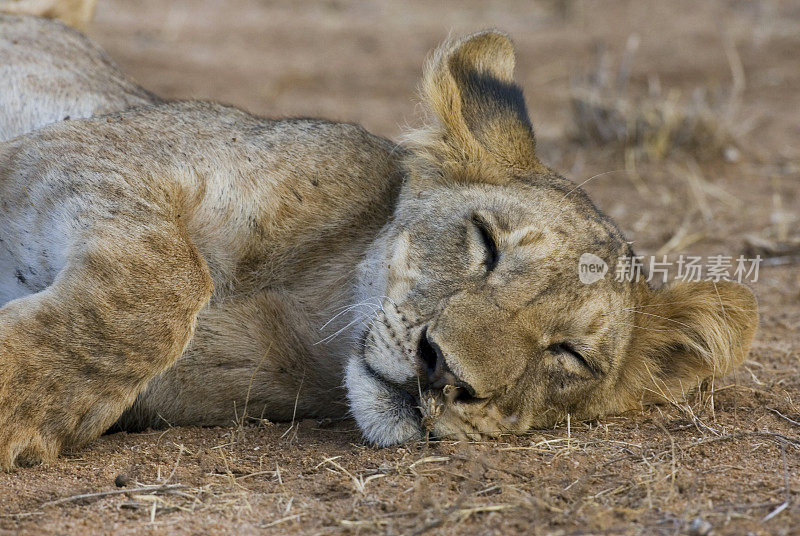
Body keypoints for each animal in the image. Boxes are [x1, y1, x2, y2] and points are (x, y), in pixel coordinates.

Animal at [0, 15, 756, 468]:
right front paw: (14, 396)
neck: (305, 314)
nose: (442, 372)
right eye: (486, 243)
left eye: (567, 353)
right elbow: (163, 287)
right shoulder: (75, 152)